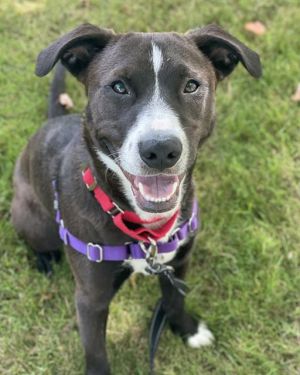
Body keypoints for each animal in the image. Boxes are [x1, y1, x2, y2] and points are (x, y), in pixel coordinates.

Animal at [11, 24, 260, 375]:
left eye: (191, 85)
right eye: (119, 87)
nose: (161, 150)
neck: (144, 230)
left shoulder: (178, 263)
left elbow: (175, 300)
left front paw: (187, 330)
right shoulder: (91, 298)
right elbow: (96, 351)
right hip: (34, 222)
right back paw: (45, 260)